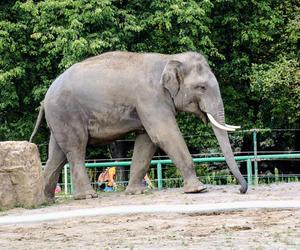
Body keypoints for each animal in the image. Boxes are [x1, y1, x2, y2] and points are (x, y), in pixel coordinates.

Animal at [29, 51, 248, 200]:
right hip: (66, 113)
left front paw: (136, 192)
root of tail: (45, 98)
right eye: (201, 87)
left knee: (57, 153)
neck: (169, 58)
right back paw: (87, 196)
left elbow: (147, 141)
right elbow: (164, 134)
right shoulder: (151, 98)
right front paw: (198, 189)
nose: (241, 190)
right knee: (76, 148)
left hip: (59, 117)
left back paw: (45, 199)